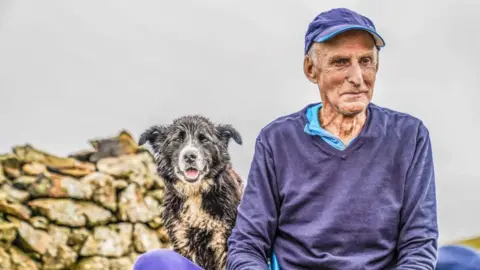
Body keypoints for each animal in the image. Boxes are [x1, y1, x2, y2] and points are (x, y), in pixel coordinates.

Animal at [138, 114, 244, 270]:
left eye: (204, 139)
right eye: (177, 140)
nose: (189, 156)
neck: (196, 194)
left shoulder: (222, 241)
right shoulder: (183, 240)